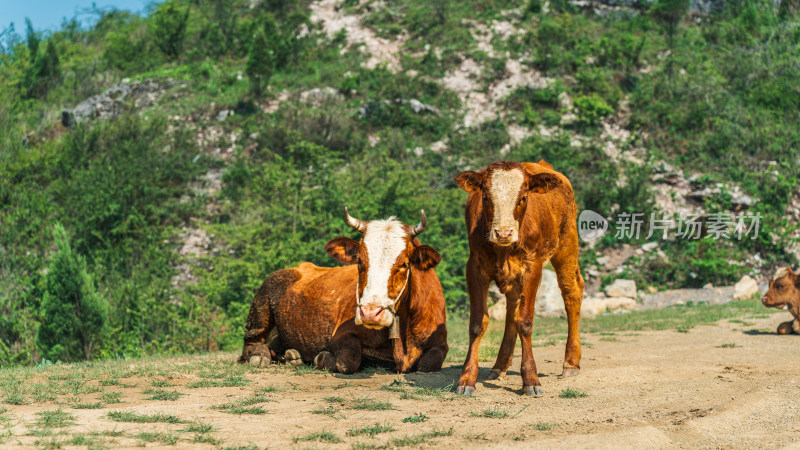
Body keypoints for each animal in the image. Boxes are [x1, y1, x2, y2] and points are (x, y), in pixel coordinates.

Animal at [238, 207, 450, 372]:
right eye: (359, 261)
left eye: (404, 264)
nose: (370, 313)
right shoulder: (342, 334)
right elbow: (348, 361)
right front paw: (322, 357)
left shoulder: (440, 344)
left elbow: (428, 363)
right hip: (264, 297)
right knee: (253, 337)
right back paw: (259, 355)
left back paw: (292, 355)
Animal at [450, 160, 588, 396]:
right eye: (485, 196)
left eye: (523, 197)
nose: (503, 233)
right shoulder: (474, 267)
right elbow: (478, 323)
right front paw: (466, 379)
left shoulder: (532, 267)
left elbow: (524, 321)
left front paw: (530, 379)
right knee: (511, 307)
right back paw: (499, 366)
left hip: (567, 244)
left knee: (572, 291)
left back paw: (570, 363)